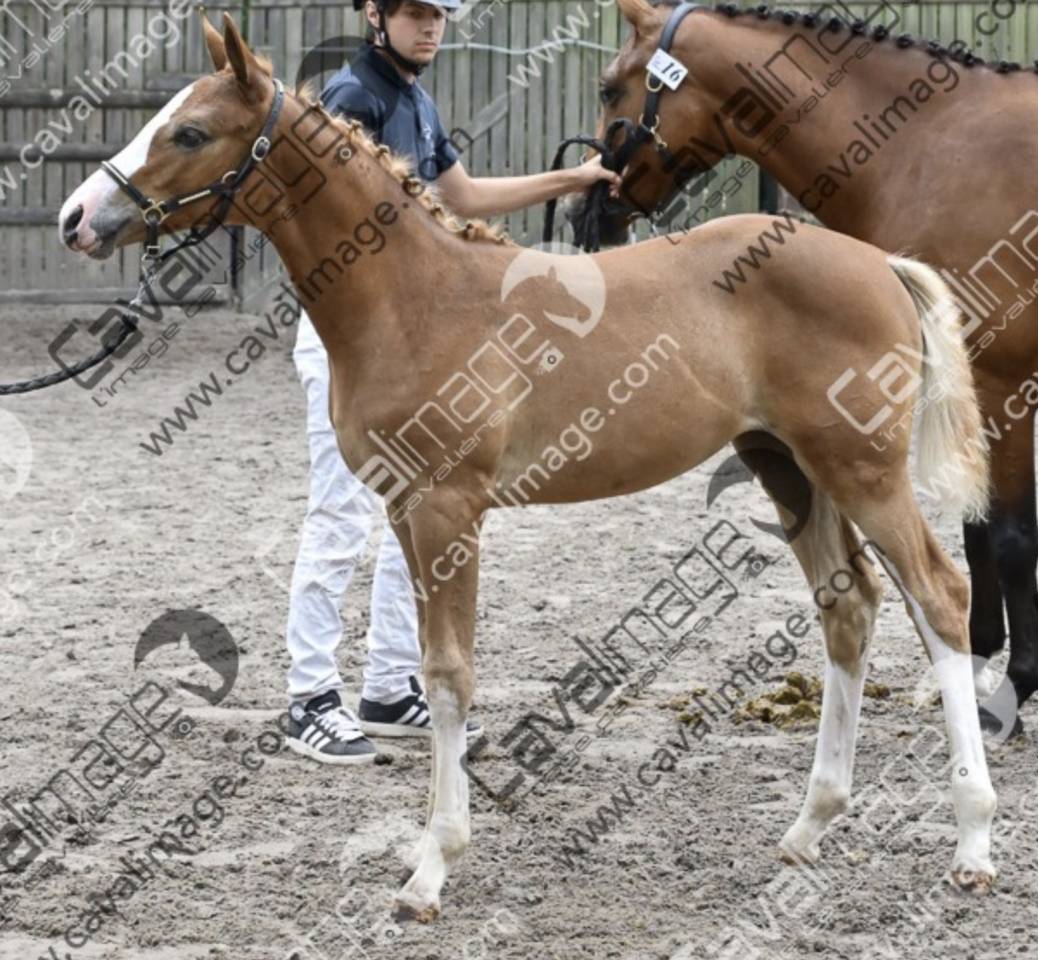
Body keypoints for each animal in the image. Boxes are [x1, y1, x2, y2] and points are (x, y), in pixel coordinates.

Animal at [58, 12, 997, 919]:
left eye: (190, 132)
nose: (77, 217)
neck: (415, 297)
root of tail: (880, 263)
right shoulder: (403, 506)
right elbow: (430, 665)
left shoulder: (447, 509)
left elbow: (450, 676)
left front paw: (432, 869)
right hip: (788, 466)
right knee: (851, 607)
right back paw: (809, 826)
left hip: (861, 467)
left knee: (940, 595)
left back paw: (973, 844)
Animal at [580, 0, 1038, 740]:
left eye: (609, 87)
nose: (584, 209)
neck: (935, 150)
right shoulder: (970, 392)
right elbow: (976, 531)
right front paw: (971, 669)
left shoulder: (1005, 386)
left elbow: (1011, 536)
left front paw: (1012, 689)